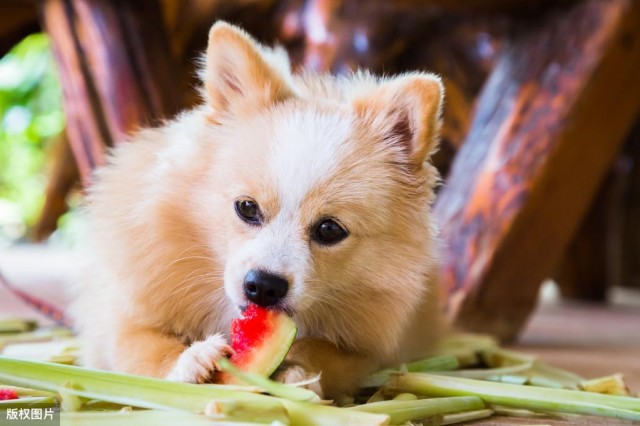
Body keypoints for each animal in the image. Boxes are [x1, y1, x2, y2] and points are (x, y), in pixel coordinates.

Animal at [67, 20, 442, 400]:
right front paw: (190, 360)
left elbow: (324, 352)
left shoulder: (363, 352)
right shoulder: (119, 318)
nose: (263, 285)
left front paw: (297, 371)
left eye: (329, 229)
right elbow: (143, 347)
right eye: (247, 208)